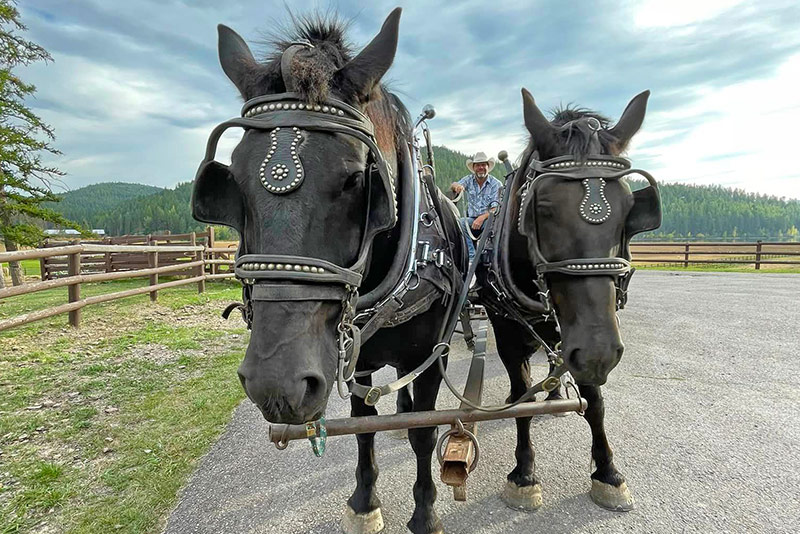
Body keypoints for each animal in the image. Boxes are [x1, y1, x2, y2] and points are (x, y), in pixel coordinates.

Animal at [478, 89, 660, 516]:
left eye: (629, 210)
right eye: (541, 208)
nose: (598, 353)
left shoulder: (583, 336)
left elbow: (594, 399)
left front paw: (608, 473)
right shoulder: (508, 331)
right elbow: (519, 397)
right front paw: (524, 474)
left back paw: (555, 389)